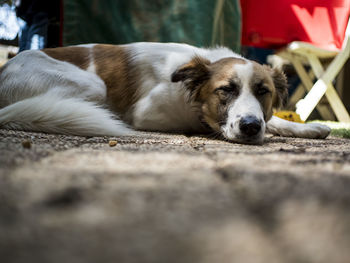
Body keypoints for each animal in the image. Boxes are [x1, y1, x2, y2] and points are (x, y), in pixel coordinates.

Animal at [0, 42, 330, 144]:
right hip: (95, 85)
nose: (250, 127)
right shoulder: (146, 114)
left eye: (263, 91)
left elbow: (274, 119)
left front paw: (309, 127)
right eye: (226, 90)